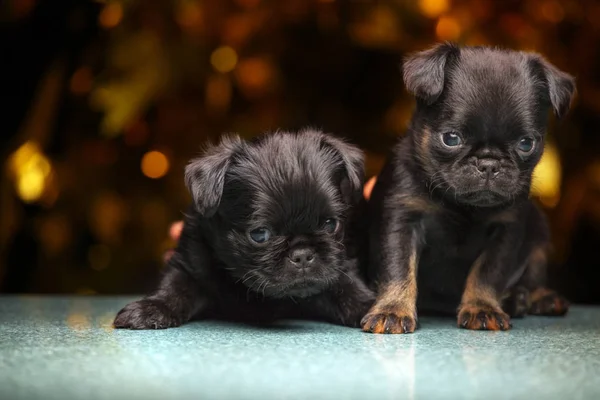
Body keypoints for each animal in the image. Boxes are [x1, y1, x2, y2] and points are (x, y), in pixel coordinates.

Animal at [114, 128, 372, 328]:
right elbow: (175, 286)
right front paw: (152, 307)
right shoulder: (189, 263)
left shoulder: (340, 268)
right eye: (259, 234)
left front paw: (374, 308)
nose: (303, 254)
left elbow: (349, 288)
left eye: (330, 225)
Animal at [360, 43, 576, 334]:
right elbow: (398, 267)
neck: (462, 205)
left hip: (539, 232)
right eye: (451, 139)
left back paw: (536, 298)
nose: (488, 163)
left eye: (526, 144)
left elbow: (488, 271)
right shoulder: (402, 218)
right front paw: (392, 309)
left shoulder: (505, 229)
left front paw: (482, 307)